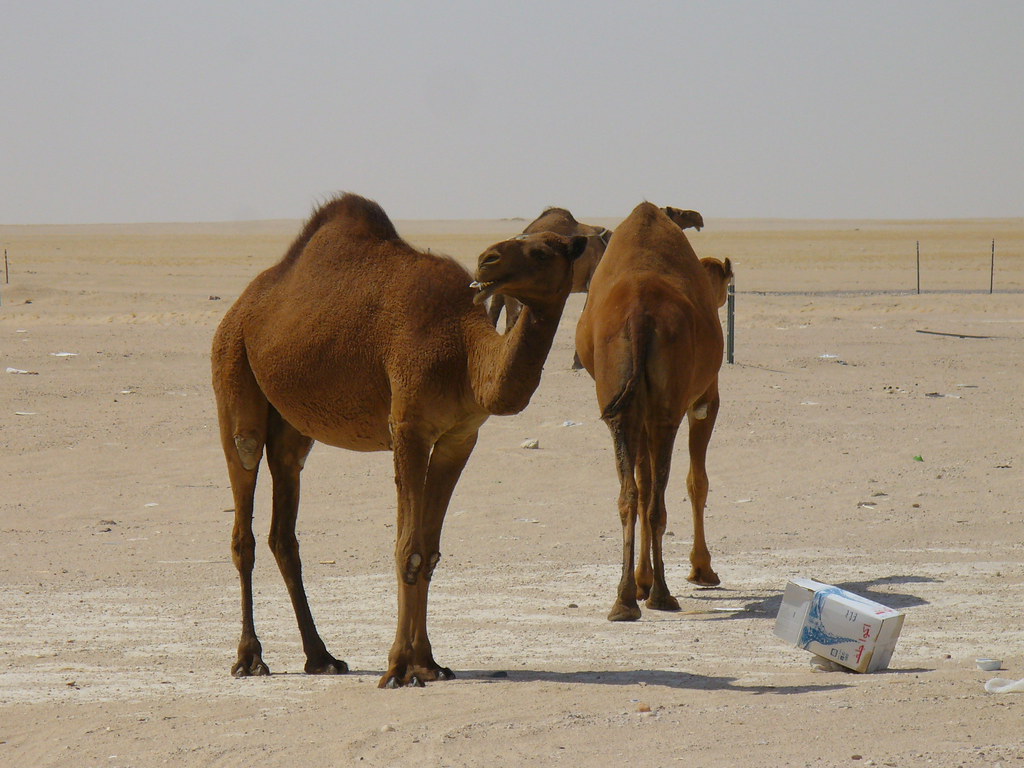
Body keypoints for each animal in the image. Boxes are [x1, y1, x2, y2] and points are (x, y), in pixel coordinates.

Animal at [211, 193, 587, 687]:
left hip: (292, 426)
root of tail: (241, 305)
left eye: (543, 250)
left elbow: (429, 551)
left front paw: (429, 663)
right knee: (245, 508)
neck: (465, 353)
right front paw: (398, 666)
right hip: (233, 370)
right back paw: (250, 657)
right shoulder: (407, 426)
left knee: (283, 530)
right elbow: (407, 549)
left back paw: (322, 656)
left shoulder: (458, 437)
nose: (488, 258)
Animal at [574, 202, 732, 622]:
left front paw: (641, 581)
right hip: (666, 408)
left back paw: (626, 599)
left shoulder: (637, 411)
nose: (697, 218)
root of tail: (639, 315)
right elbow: (697, 481)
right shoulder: (705, 399)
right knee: (658, 497)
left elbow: (642, 485)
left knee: (631, 494)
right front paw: (703, 570)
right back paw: (661, 594)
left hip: (620, 403)